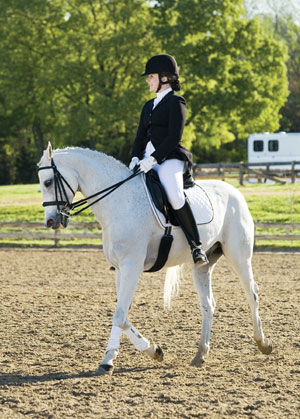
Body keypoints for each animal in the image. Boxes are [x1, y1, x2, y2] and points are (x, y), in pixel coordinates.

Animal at [37, 145, 272, 378]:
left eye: (47, 182)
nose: (51, 221)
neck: (119, 201)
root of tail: (234, 191)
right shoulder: (120, 269)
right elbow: (123, 315)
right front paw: (154, 350)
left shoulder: (132, 267)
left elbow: (119, 315)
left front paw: (107, 361)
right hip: (203, 265)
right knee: (208, 304)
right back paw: (201, 354)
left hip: (239, 256)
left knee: (252, 294)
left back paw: (263, 343)